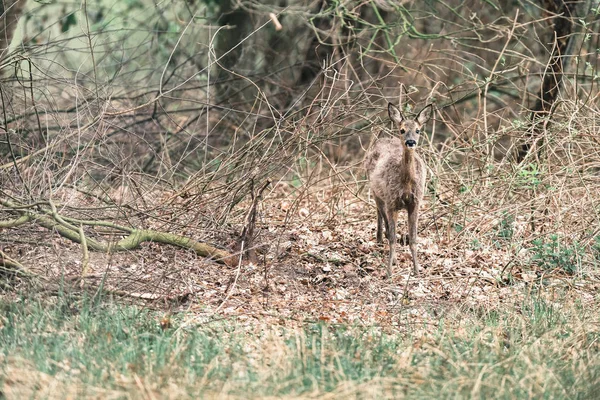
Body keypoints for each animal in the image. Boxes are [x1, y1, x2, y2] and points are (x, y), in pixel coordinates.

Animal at [366, 103, 432, 278]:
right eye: (402, 130)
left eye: (418, 130)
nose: (410, 142)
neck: (406, 185)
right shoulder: (392, 201)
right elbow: (393, 238)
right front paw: (389, 272)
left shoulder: (416, 202)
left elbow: (413, 239)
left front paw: (417, 270)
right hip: (376, 191)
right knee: (383, 219)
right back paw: (382, 241)